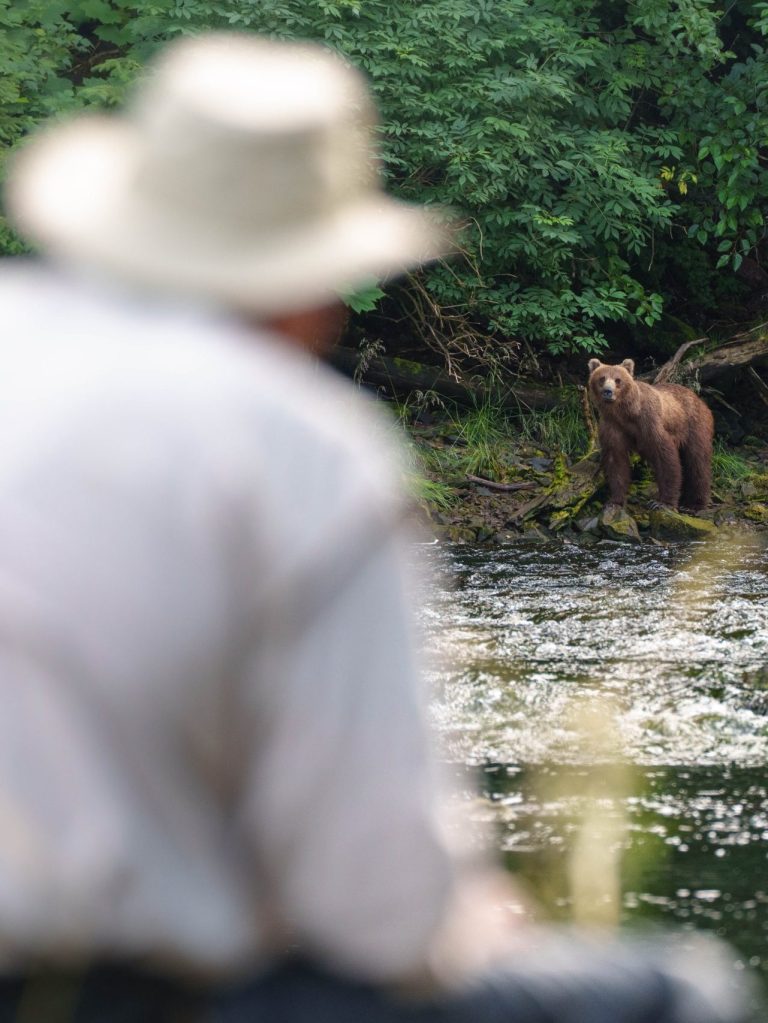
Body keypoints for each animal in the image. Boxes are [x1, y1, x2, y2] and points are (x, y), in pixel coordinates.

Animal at [587, 358, 714, 513]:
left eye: (618, 380)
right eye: (602, 378)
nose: (608, 391)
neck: (625, 413)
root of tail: (699, 399)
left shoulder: (649, 422)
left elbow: (664, 456)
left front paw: (662, 503)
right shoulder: (612, 426)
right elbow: (616, 460)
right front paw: (614, 501)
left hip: (694, 425)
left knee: (697, 460)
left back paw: (694, 504)